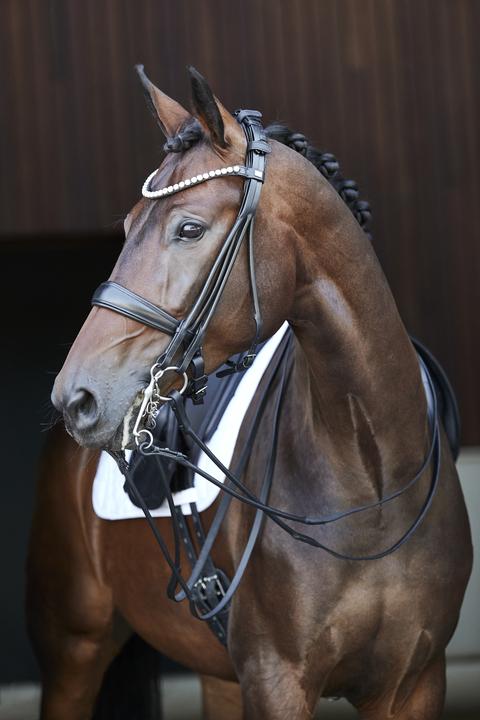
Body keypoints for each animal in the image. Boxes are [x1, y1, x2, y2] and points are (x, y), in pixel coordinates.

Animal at [27, 65, 472, 720]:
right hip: (73, 649)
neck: (373, 479)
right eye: (129, 227)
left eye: (188, 228)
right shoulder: (276, 679)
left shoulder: (413, 683)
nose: (75, 398)